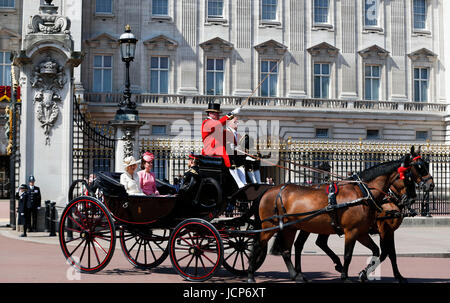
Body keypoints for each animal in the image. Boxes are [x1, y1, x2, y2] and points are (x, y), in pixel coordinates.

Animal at [248, 152, 424, 282]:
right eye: (410, 175)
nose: (412, 198)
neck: (363, 193)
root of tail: (269, 190)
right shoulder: (358, 231)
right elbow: (351, 254)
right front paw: (346, 276)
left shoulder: (363, 232)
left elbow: (379, 251)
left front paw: (365, 273)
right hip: (269, 226)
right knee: (257, 245)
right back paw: (250, 274)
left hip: (293, 227)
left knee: (288, 249)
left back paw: (296, 275)